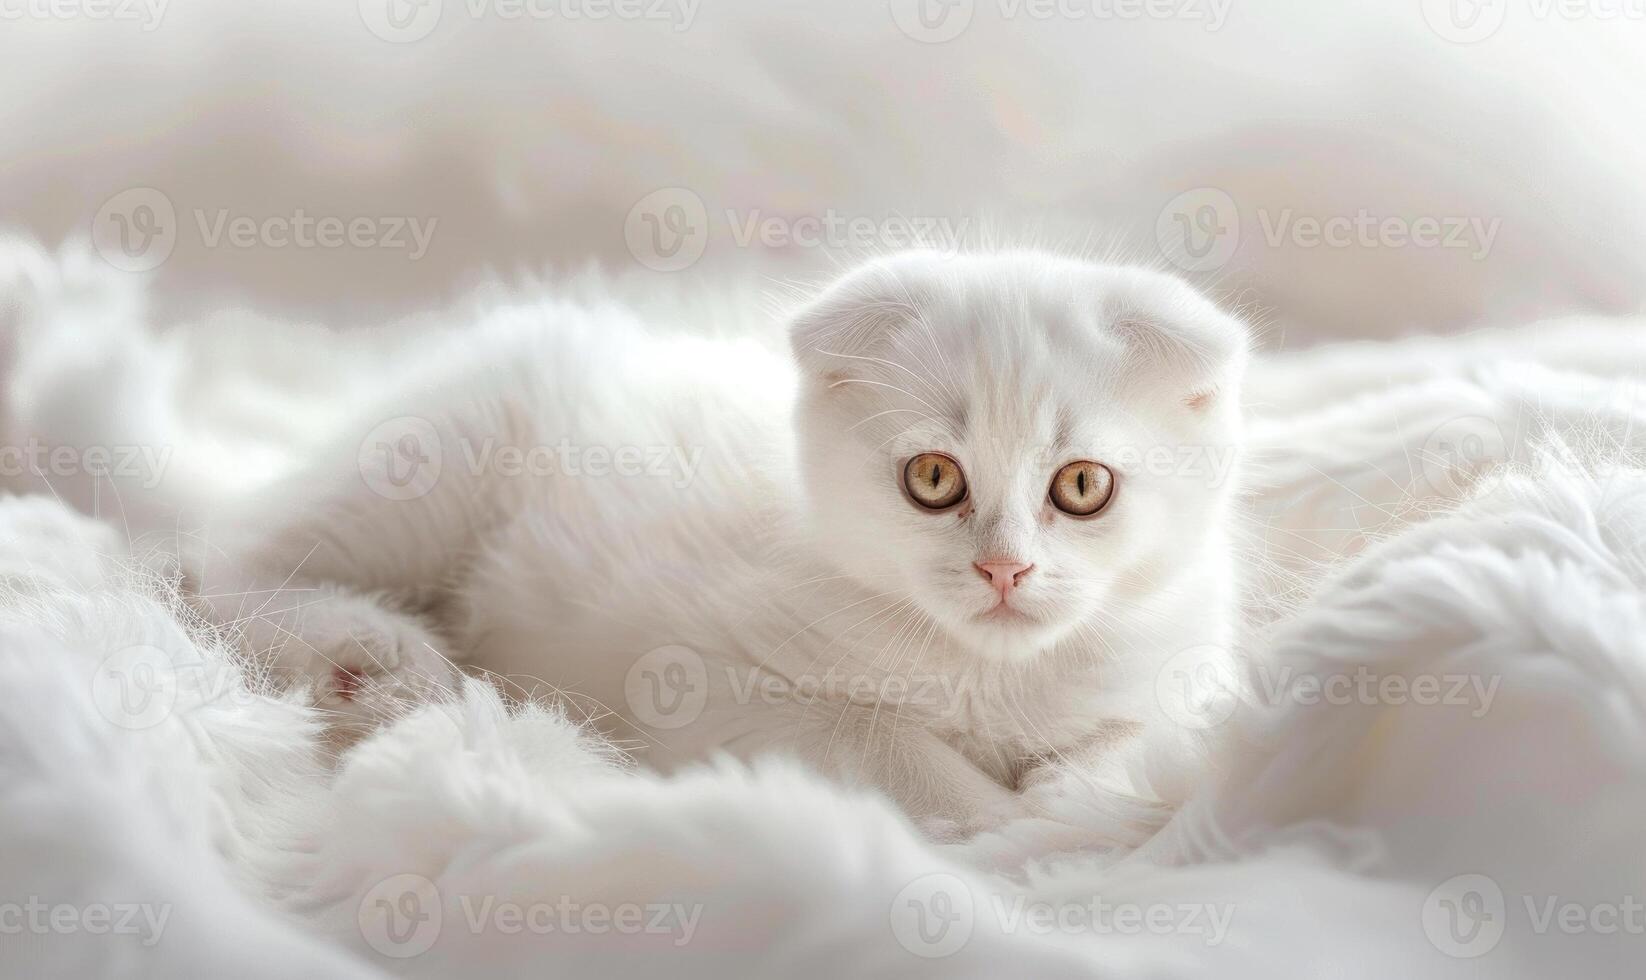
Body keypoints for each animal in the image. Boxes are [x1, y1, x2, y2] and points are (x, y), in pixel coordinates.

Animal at [186, 250, 1244, 836]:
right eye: (935, 479)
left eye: (1083, 488)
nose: (1004, 567)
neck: (989, 671)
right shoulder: (707, 684)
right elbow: (886, 744)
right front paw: (1006, 829)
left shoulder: (1172, 666)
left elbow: (1134, 743)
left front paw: (1077, 798)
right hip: (430, 469)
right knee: (223, 567)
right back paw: (377, 661)